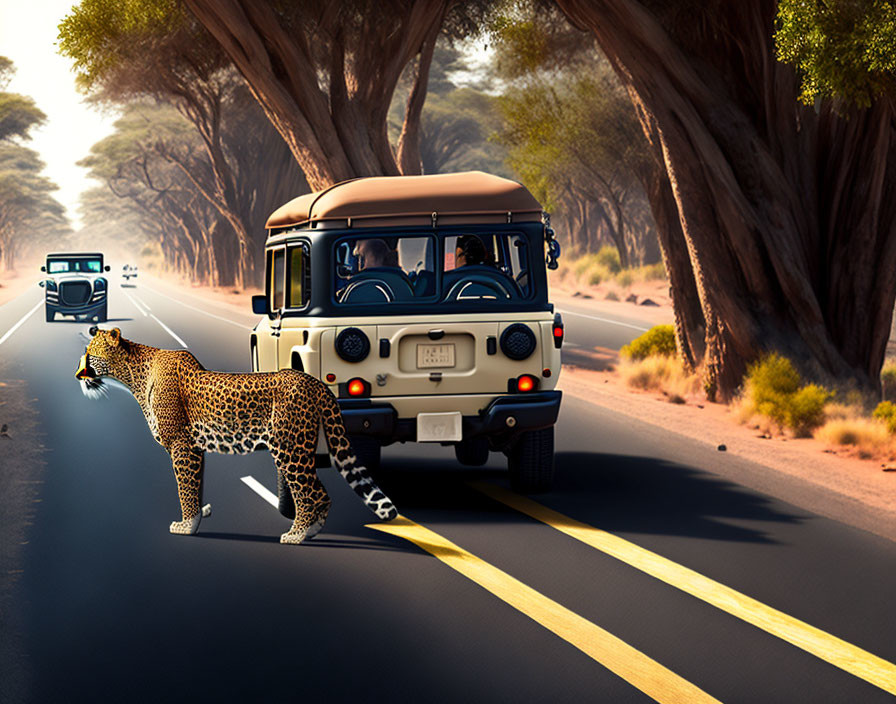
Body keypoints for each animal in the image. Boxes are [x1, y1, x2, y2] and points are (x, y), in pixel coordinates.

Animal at [75, 326, 398, 544]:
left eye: (91, 356)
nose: (78, 375)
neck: (134, 374)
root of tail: (313, 381)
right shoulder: (194, 448)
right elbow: (196, 484)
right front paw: (199, 516)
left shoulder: (181, 445)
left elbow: (184, 488)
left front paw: (186, 525)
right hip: (297, 449)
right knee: (320, 493)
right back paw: (311, 531)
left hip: (289, 449)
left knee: (310, 492)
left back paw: (297, 534)